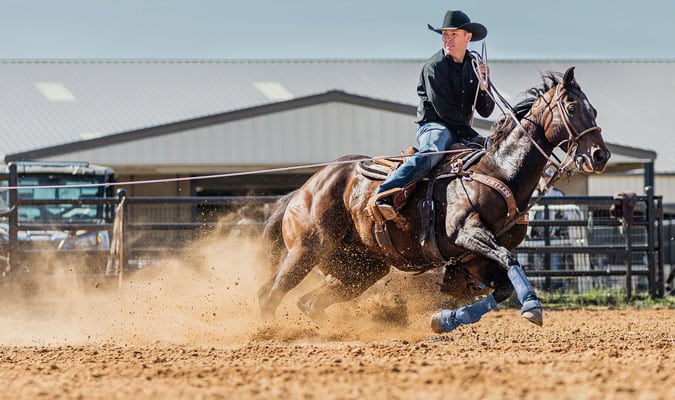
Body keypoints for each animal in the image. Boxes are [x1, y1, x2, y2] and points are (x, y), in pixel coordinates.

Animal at [258, 67, 610, 333]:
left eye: (593, 110)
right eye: (572, 107)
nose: (600, 155)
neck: (499, 169)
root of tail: (302, 190)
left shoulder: (474, 259)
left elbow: (503, 287)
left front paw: (445, 319)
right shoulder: (468, 233)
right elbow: (511, 261)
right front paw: (533, 307)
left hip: (362, 269)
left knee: (309, 302)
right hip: (307, 249)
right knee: (271, 293)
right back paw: (265, 332)